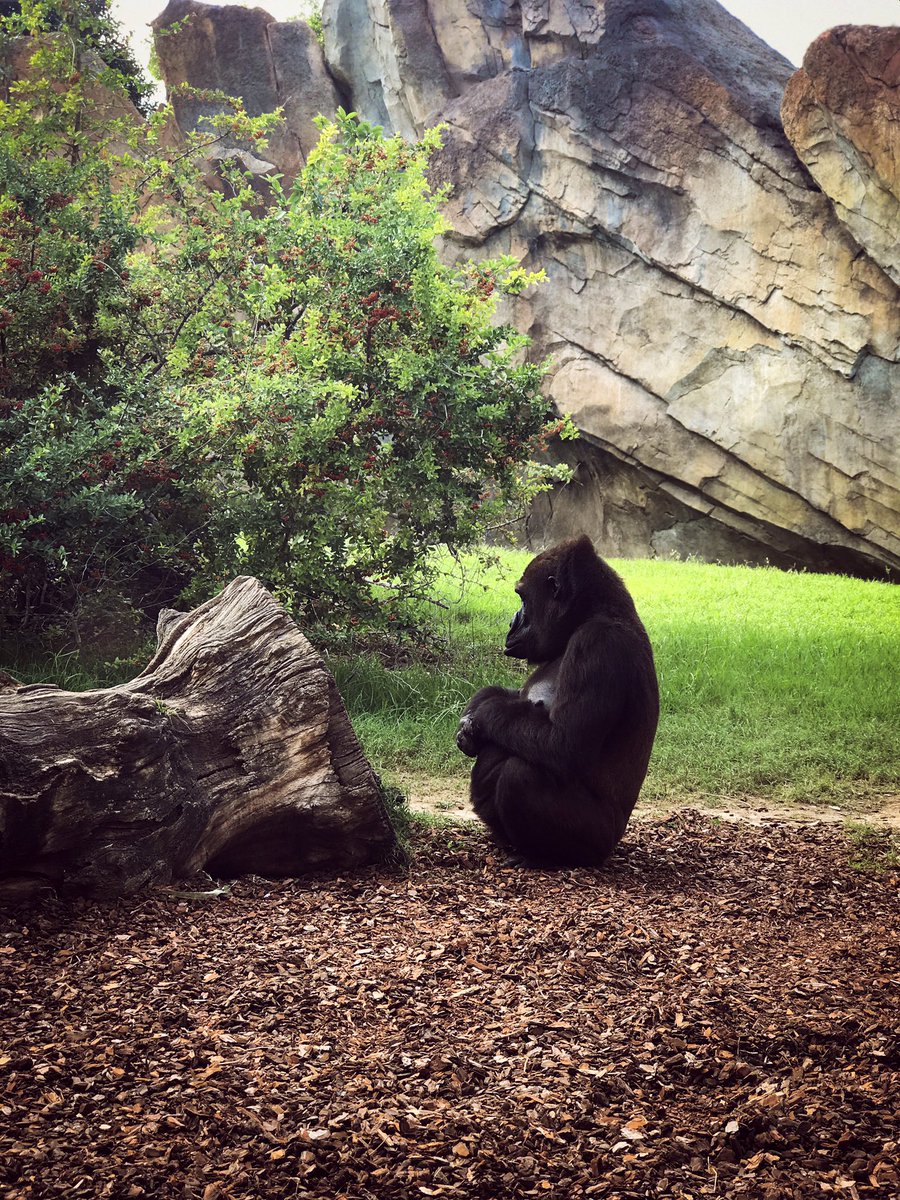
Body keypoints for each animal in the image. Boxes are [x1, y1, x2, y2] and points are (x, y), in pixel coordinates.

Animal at [456, 535, 659, 867]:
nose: (512, 622)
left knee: (519, 774)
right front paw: (477, 710)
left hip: (599, 842)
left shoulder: (597, 644)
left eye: (523, 598)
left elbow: (564, 744)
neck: (597, 612)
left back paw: (547, 857)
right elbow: (512, 700)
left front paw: (483, 713)